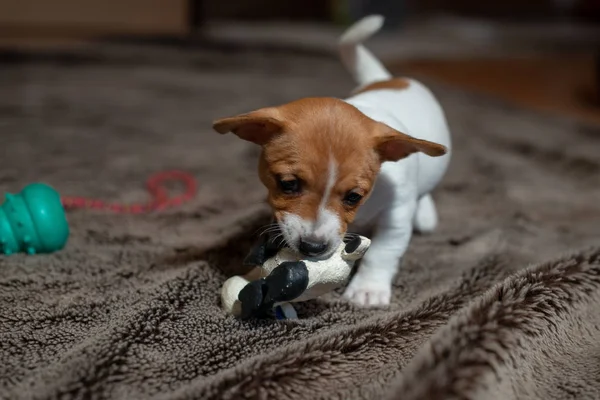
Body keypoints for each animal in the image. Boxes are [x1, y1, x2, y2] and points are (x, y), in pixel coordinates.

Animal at [211, 14, 450, 306]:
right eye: (287, 184)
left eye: (354, 197)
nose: (313, 247)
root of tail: (386, 78)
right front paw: (253, 276)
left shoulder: (397, 214)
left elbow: (383, 251)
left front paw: (368, 289)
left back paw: (425, 213)